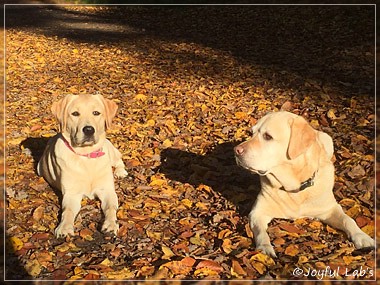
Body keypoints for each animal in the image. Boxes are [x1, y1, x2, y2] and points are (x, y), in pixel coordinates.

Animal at [37, 93, 128, 237]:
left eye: (96, 113)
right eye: (75, 113)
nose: (89, 130)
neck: (86, 156)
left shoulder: (107, 190)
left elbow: (111, 208)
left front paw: (111, 224)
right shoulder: (72, 194)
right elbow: (67, 211)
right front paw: (64, 227)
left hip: (110, 150)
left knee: (119, 159)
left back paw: (120, 172)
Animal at [235, 110, 374, 255]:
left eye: (268, 136)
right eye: (251, 133)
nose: (236, 150)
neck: (294, 188)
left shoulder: (330, 208)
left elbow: (348, 220)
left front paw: (363, 237)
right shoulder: (257, 213)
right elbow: (260, 232)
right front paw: (264, 248)